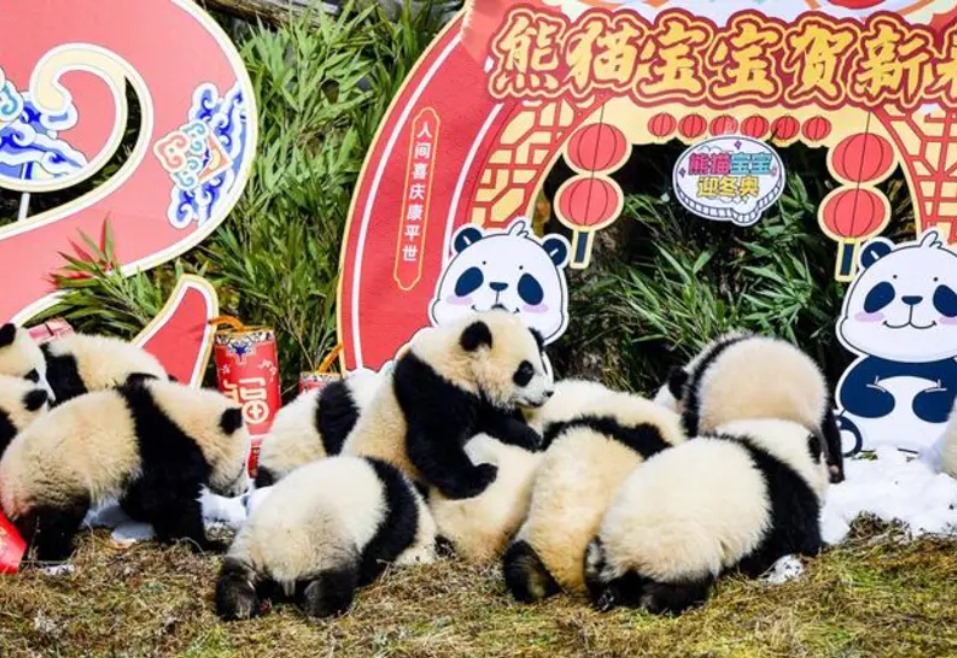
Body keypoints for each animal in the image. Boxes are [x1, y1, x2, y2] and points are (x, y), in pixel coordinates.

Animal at [0, 379, 251, 562]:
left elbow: (147, 498)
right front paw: (206, 543)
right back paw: (58, 553)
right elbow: (173, 500)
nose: (244, 490)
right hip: (53, 479)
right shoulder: (164, 445)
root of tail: (7, 490)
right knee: (53, 523)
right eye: (243, 465)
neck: (188, 419)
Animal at [215, 455, 436, 620]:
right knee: (334, 584)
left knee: (234, 578)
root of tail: (280, 558)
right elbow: (381, 551)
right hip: (325, 548)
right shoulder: (392, 519)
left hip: (249, 547)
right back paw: (320, 608)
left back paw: (239, 607)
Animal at [342, 310, 553, 500]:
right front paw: (481, 475)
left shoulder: (472, 396)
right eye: (526, 371)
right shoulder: (432, 388)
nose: (548, 392)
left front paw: (529, 437)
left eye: (542, 365)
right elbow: (432, 440)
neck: (459, 361)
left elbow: (491, 419)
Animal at [584, 418, 830, 615]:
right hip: (681, 551)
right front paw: (820, 546)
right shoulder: (781, 499)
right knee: (678, 586)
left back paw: (607, 596)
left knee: (597, 569)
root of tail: (623, 551)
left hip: (604, 545)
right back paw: (658, 601)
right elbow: (794, 537)